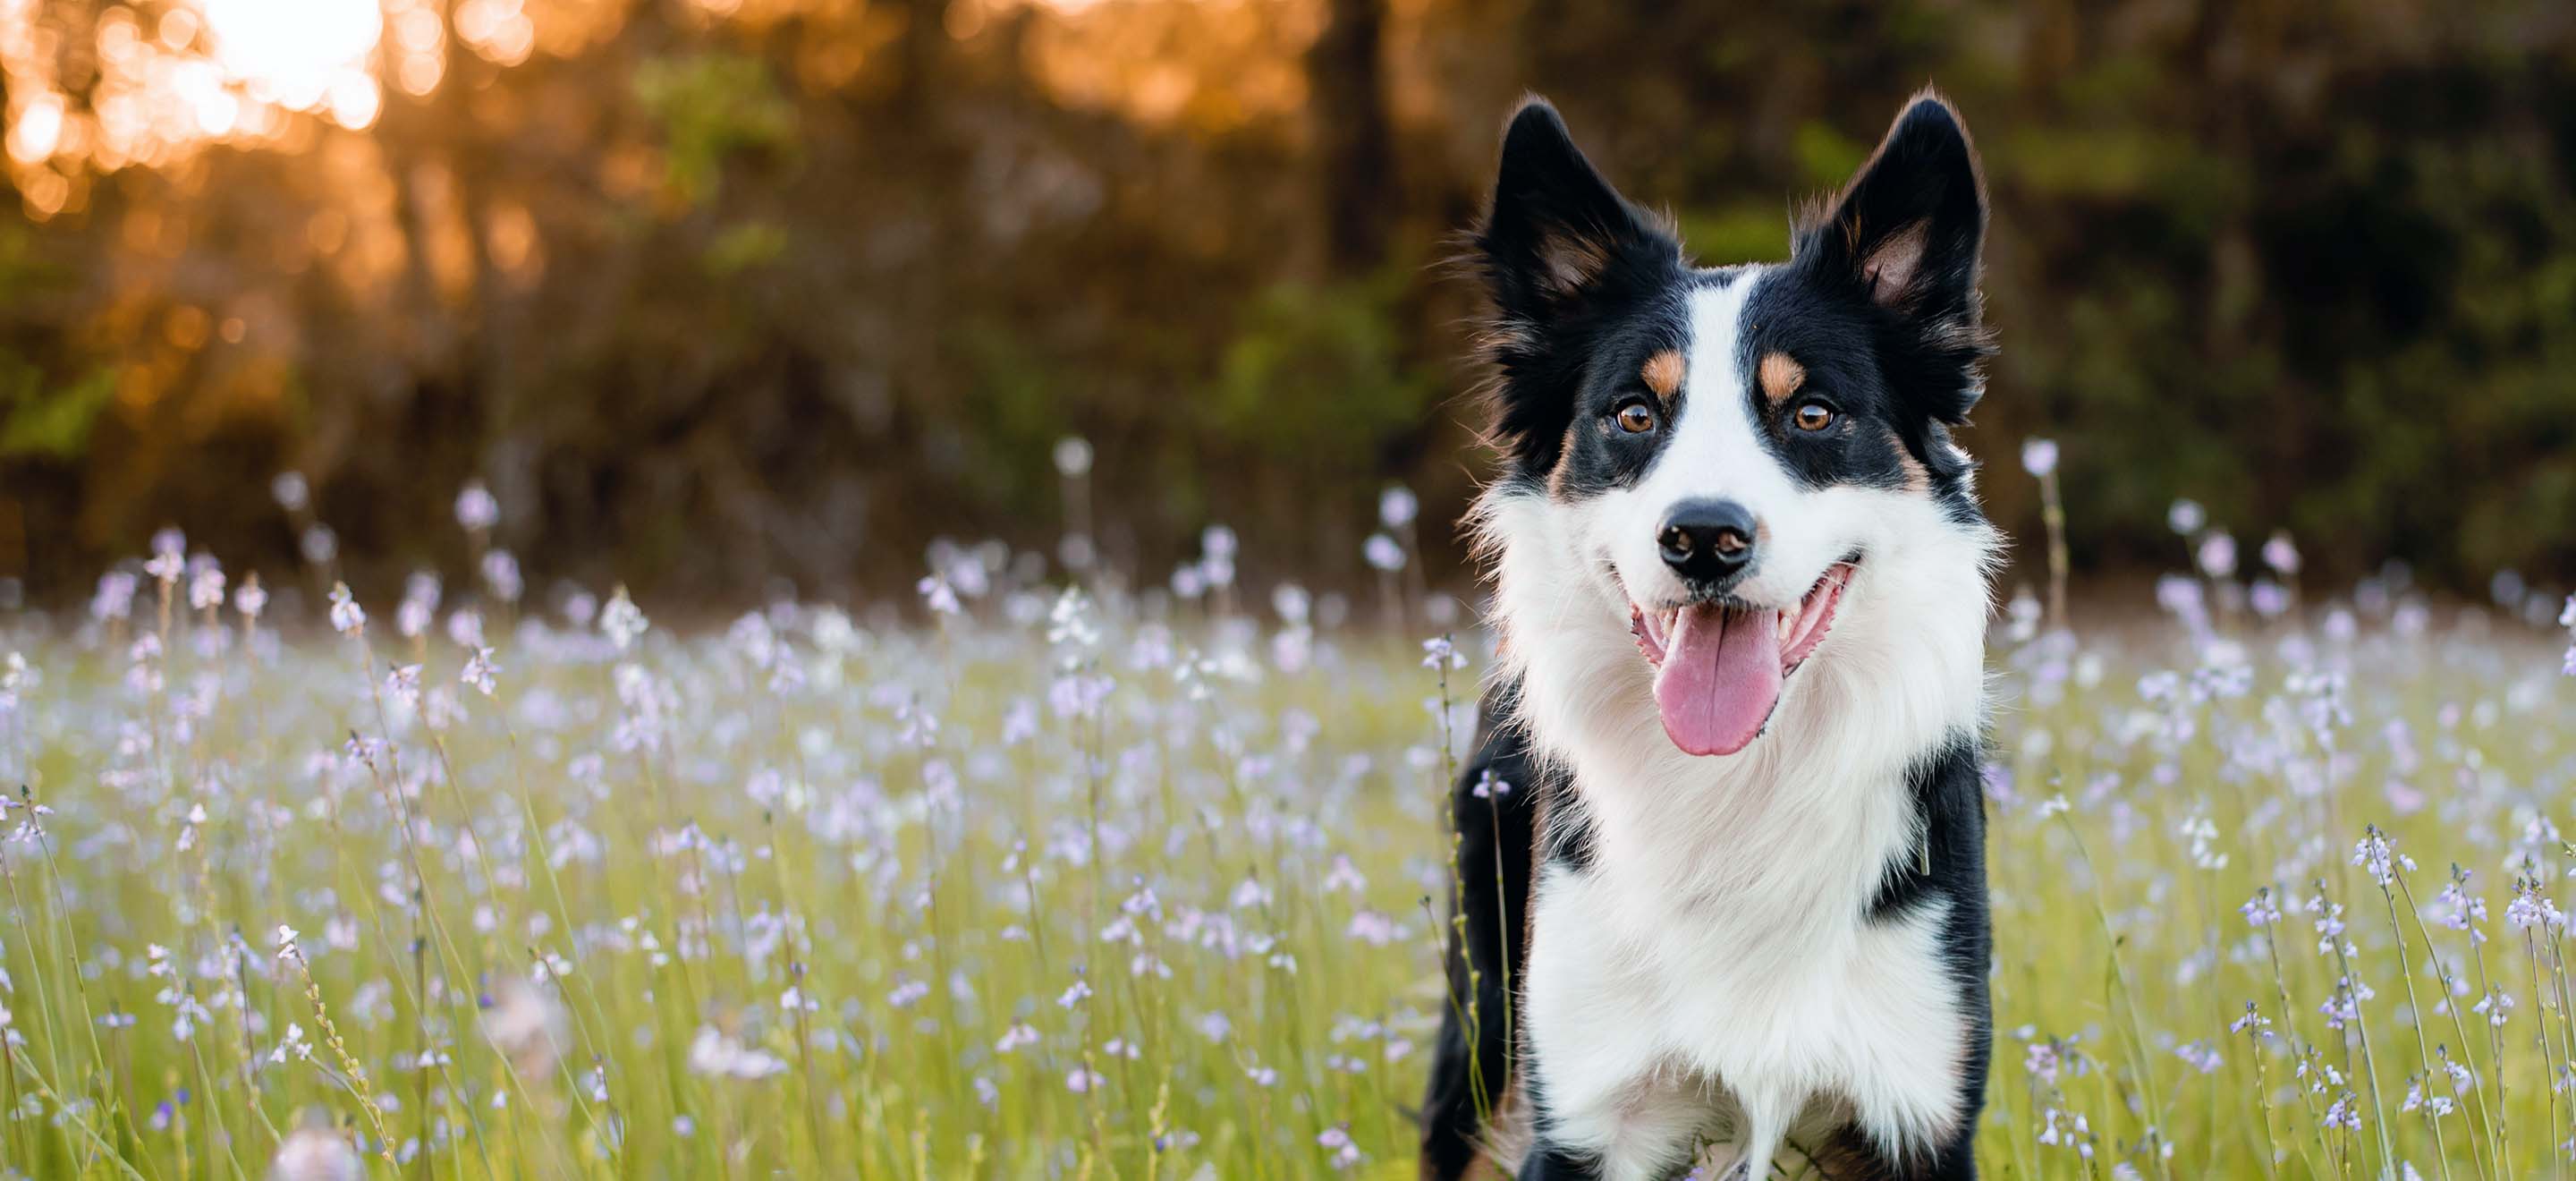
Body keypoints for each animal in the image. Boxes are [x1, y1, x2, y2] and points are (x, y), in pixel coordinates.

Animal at [1432, 92, 1988, 1181]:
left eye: (1811, 412)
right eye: (1634, 415)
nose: (1702, 537)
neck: (1738, 785)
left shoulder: (1918, 1112)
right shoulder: (1585, 1119)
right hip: (1480, 1027)